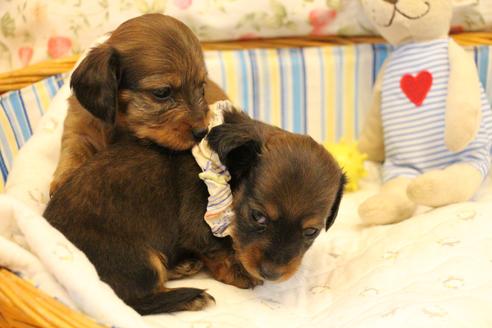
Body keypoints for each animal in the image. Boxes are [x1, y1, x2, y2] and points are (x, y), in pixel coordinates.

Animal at [43, 109, 346, 316]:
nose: (271, 274)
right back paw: (190, 296)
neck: (230, 171)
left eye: (311, 232)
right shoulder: (199, 226)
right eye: (257, 216)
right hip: (137, 260)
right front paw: (238, 273)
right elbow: (218, 250)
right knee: (130, 300)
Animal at [50, 14, 227, 195]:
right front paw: (64, 178)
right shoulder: (79, 128)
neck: (120, 124)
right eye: (162, 92)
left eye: (202, 87)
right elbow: (73, 149)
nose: (202, 132)